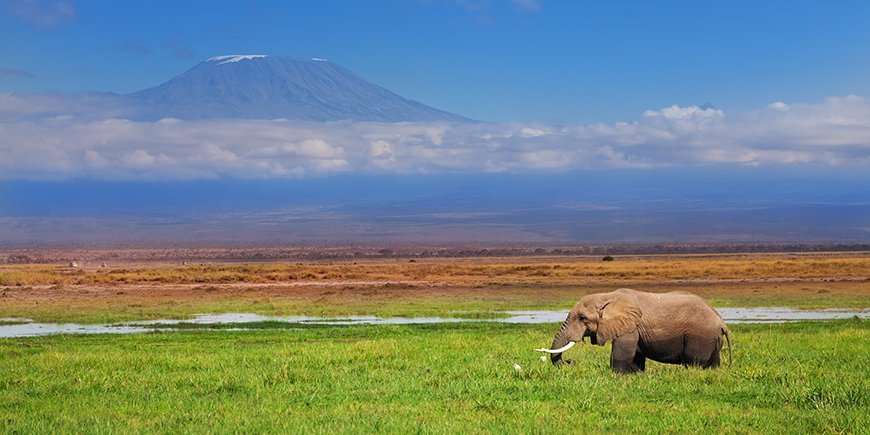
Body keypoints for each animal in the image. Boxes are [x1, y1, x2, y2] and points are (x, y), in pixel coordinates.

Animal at [540, 288, 728, 372]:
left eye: (582, 318)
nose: (570, 362)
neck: (607, 296)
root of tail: (721, 323)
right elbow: (636, 354)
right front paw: (635, 374)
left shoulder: (630, 327)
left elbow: (622, 352)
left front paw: (618, 375)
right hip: (712, 340)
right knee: (713, 363)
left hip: (700, 337)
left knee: (693, 362)